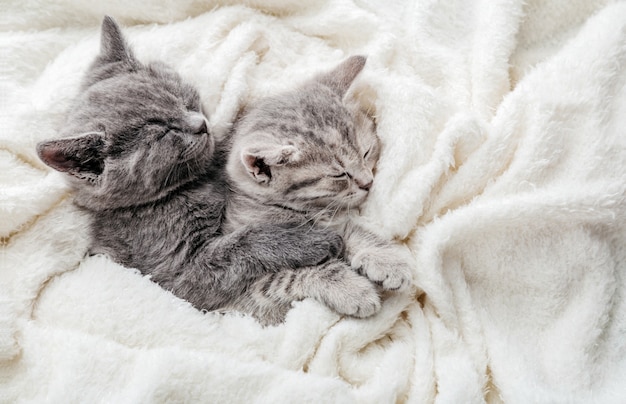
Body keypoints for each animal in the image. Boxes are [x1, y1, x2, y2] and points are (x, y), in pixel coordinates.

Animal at [36, 17, 358, 324]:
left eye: (181, 96)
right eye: (162, 132)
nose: (200, 123)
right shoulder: (181, 271)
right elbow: (244, 243)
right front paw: (313, 239)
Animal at [222, 55, 412, 324]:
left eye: (366, 152)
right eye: (339, 174)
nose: (368, 182)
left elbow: (348, 229)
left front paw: (386, 260)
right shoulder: (238, 293)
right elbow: (296, 274)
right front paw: (351, 289)